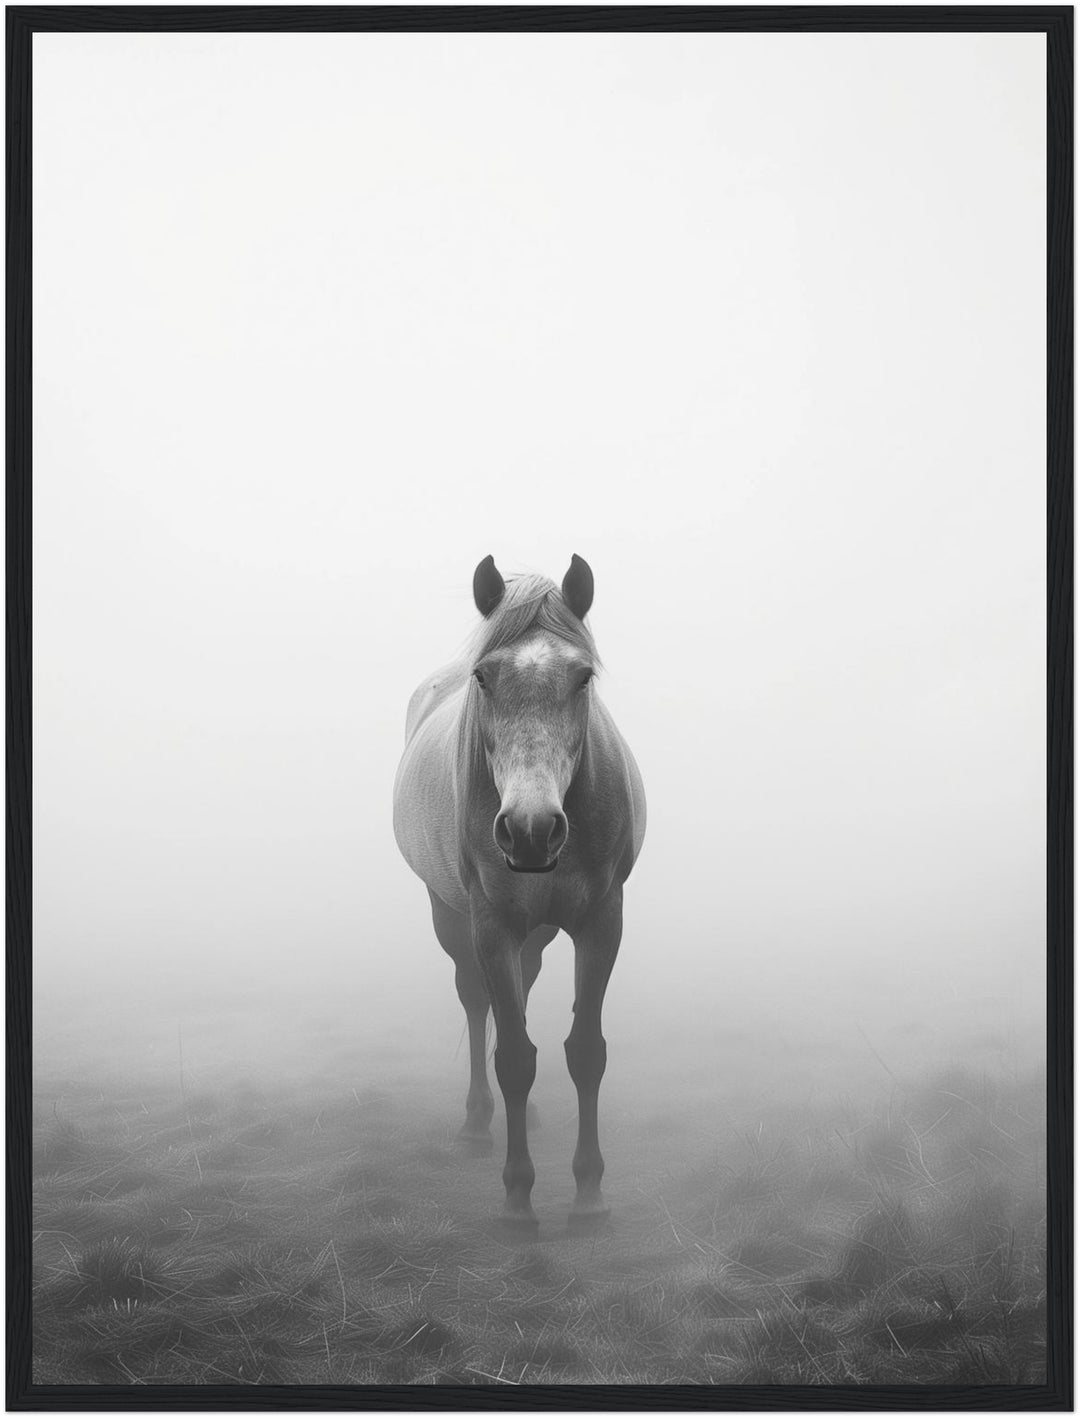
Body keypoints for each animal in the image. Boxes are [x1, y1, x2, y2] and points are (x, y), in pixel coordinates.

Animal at [393, 555, 646, 1231]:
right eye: (483, 677)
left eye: (583, 677)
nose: (531, 831)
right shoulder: (492, 925)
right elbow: (511, 1057)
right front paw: (517, 1198)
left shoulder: (601, 921)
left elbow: (585, 1052)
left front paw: (589, 1193)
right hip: (451, 917)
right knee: (477, 1005)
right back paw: (478, 1124)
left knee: (523, 993)